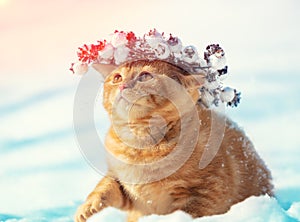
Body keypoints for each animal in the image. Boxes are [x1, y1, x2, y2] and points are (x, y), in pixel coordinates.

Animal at [74, 59, 272, 221]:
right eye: (117, 77)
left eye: (145, 76)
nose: (123, 86)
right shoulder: (122, 184)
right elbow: (105, 187)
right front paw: (88, 207)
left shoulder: (208, 191)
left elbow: (188, 212)